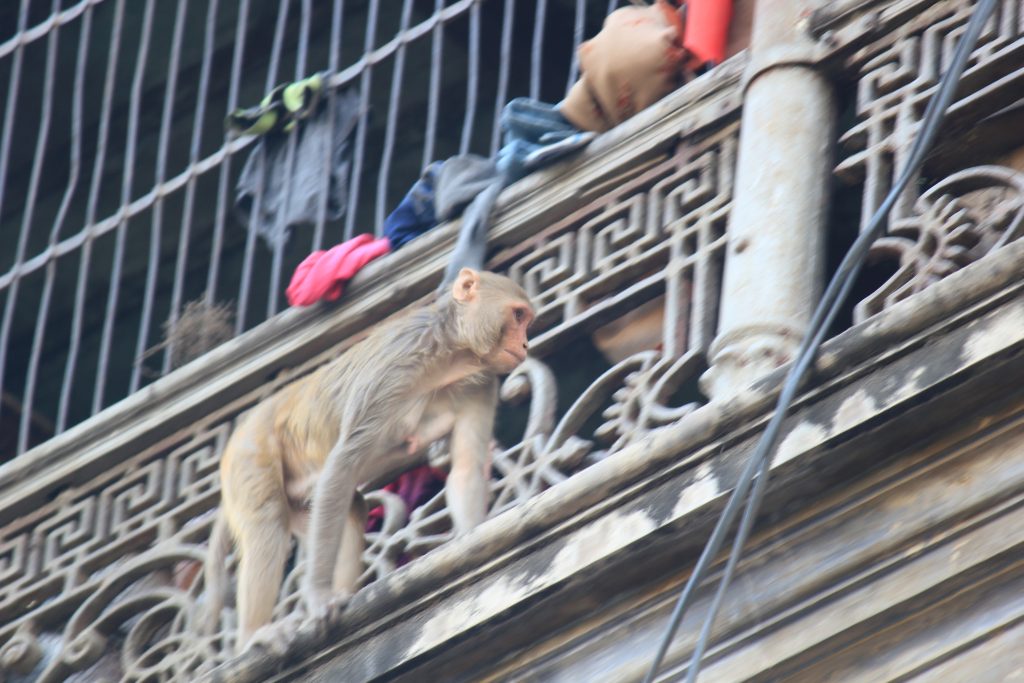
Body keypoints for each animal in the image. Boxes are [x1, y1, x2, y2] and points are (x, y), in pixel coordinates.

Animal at [202, 268, 532, 651]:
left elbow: (466, 467)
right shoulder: (397, 363)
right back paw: (255, 634)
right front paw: (317, 596)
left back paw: (346, 592)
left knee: (349, 506)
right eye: (518, 316)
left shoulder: (479, 383)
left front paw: (470, 540)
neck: (450, 355)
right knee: (269, 519)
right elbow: (343, 462)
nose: (526, 344)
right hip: (248, 452)